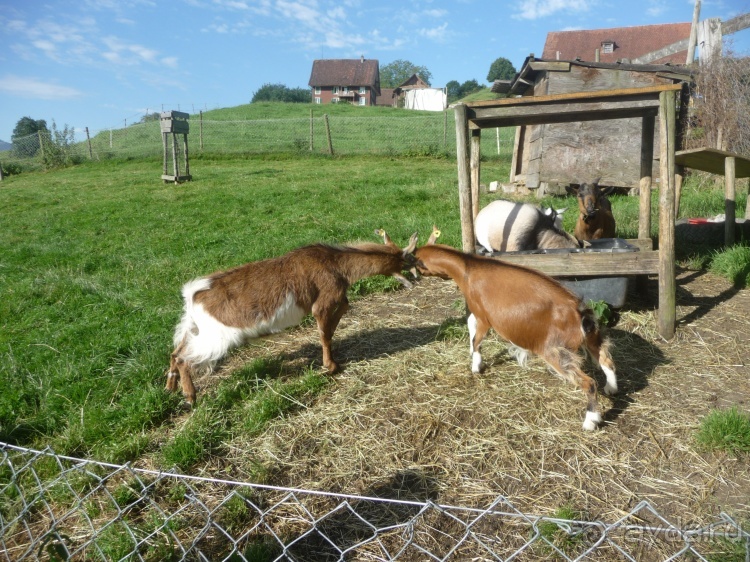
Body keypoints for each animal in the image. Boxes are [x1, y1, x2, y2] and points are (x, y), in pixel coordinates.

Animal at [167, 231, 420, 402]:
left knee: (175, 351)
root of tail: (194, 294)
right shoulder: (323, 302)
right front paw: (331, 366)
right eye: (406, 260)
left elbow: (343, 309)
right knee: (184, 357)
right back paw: (190, 396)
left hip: (197, 328)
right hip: (217, 337)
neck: (336, 263)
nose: (417, 277)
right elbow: (325, 334)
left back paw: (170, 385)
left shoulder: (336, 297)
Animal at [414, 228, 620, 428]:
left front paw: (476, 366)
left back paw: (590, 421)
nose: (414, 275)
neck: (467, 268)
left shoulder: (483, 315)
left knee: (589, 383)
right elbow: (471, 327)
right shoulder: (475, 312)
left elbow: (477, 338)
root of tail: (580, 314)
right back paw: (611, 388)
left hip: (554, 351)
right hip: (592, 337)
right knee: (606, 359)